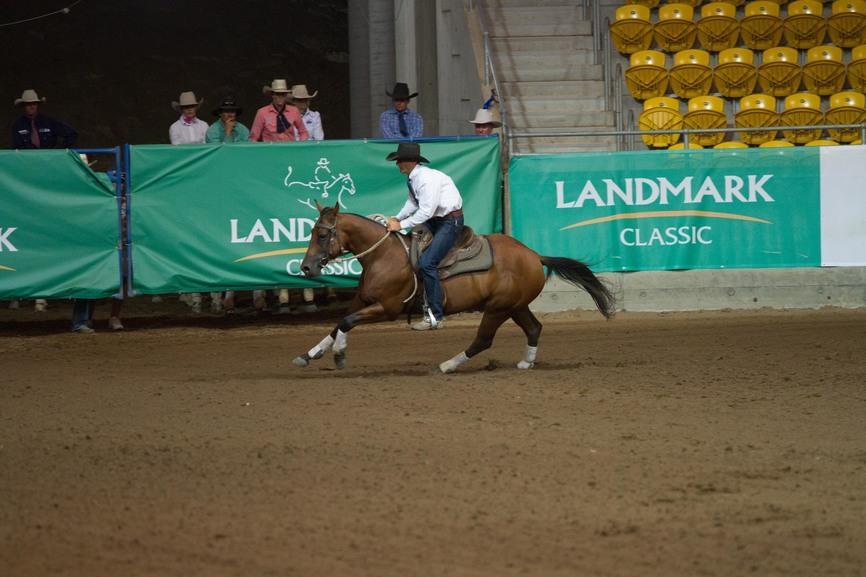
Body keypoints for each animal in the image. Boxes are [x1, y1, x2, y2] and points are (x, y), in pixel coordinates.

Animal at [292, 203, 615, 373]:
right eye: (312, 231)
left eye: (323, 234)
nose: (306, 268)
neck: (383, 256)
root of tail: (535, 255)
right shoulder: (362, 300)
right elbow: (338, 323)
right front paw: (309, 354)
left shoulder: (387, 308)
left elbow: (346, 322)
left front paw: (339, 355)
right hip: (515, 305)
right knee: (534, 328)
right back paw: (526, 362)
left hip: (498, 309)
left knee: (483, 340)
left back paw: (448, 364)